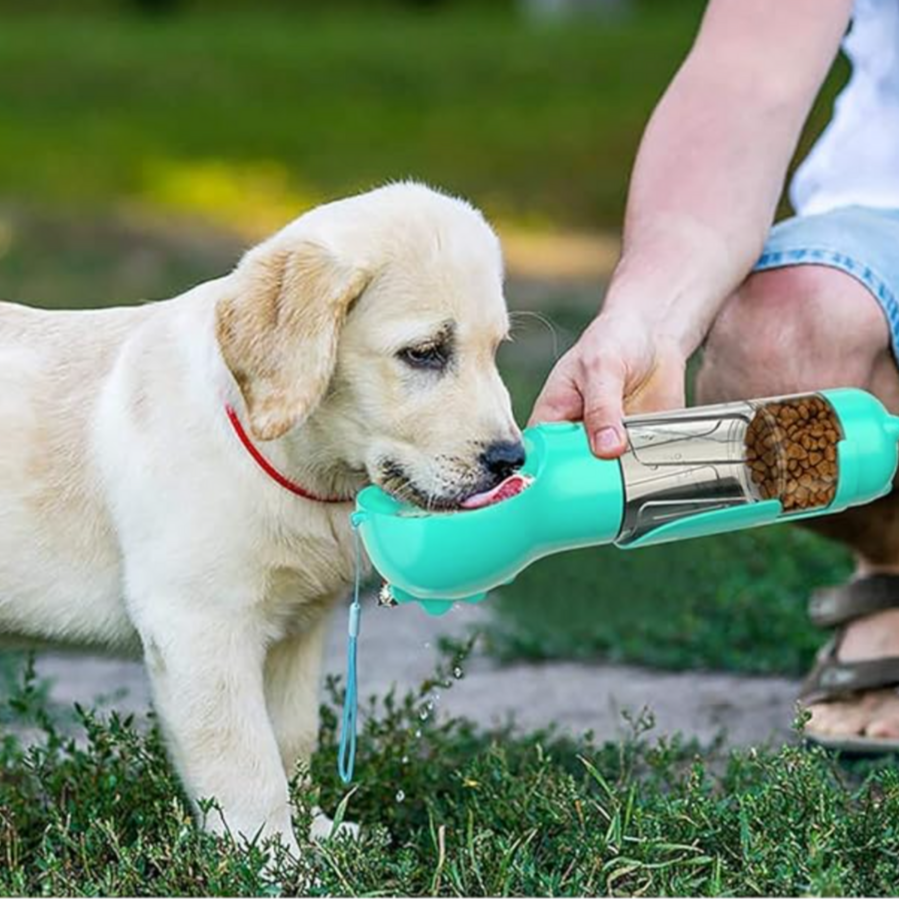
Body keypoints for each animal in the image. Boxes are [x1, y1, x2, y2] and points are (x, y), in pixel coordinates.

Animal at [0, 181, 520, 852]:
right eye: (425, 353)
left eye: (495, 350)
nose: (512, 460)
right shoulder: (199, 626)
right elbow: (245, 762)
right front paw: (269, 858)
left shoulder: (295, 632)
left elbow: (291, 740)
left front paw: (316, 832)